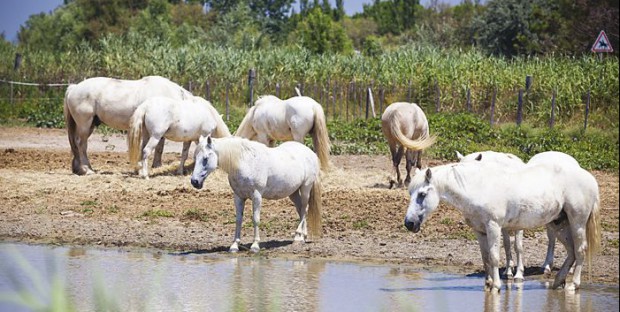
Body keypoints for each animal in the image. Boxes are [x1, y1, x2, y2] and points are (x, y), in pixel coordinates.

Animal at [63, 74, 191, 174]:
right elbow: (151, 147)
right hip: (84, 124)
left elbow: (157, 147)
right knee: (81, 144)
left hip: (90, 125)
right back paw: (87, 170)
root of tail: (74, 88)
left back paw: (80, 169)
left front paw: (154, 166)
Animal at [190, 135, 322, 252]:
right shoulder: (238, 197)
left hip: (305, 188)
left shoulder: (256, 196)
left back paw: (298, 236)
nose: (194, 181)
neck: (245, 162)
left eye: (205, 158)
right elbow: (238, 219)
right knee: (300, 209)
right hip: (293, 192)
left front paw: (255, 245)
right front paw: (234, 245)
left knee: (304, 209)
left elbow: (256, 219)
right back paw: (302, 236)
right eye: (195, 158)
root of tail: (310, 153)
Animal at [404, 161, 600, 292]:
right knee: (571, 251)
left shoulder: (493, 227)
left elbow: (494, 257)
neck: (478, 188)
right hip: (559, 225)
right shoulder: (480, 231)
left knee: (580, 250)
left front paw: (497, 286)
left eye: (422, 194)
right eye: (411, 192)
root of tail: (590, 179)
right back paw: (558, 281)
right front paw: (488, 284)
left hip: (577, 223)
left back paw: (573, 284)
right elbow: (485, 258)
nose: (409, 223)